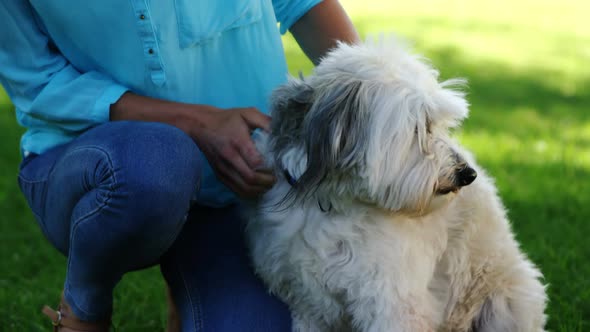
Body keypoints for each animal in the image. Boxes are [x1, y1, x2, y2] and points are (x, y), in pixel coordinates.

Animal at [244, 39, 544, 332]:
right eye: (421, 126)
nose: (467, 174)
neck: (334, 203)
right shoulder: (309, 303)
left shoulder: (393, 303)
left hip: (505, 305)